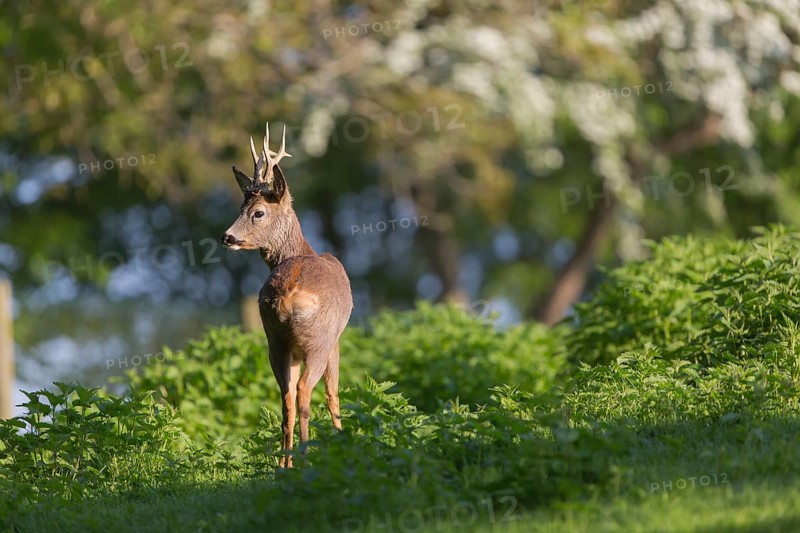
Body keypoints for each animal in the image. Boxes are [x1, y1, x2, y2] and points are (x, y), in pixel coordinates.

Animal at [221, 123, 353, 468]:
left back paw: (285, 462)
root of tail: (289, 293)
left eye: (256, 212)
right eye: (244, 209)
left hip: (276, 340)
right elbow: (334, 394)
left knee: (286, 397)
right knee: (305, 391)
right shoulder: (337, 337)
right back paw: (306, 456)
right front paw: (344, 441)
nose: (227, 236)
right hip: (318, 339)